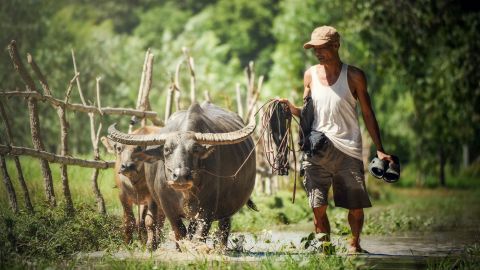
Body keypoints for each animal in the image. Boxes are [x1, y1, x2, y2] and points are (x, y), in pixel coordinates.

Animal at [107, 102, 256, 249]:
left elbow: (200, 234)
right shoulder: (167, 206)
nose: (180, 176)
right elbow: (179, 231)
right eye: (167, 149)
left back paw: (221, 249)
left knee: (224, 227)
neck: (186, 193)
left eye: (195, 149)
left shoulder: (208, 208)